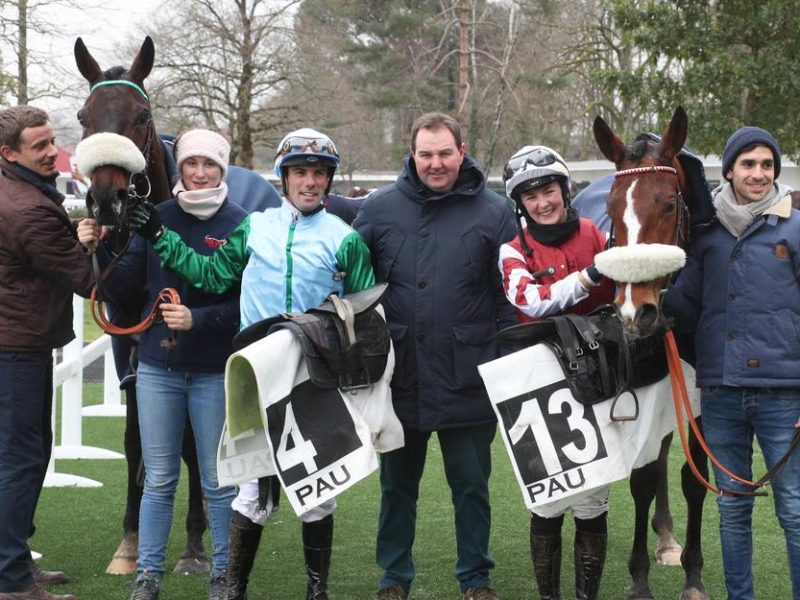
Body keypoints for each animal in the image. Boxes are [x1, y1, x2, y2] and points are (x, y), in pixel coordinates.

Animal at [72, 37, 209, 576]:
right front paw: (129, 543)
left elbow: (192, 437)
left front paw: (195, 540)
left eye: (142, 114)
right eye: (84, 116)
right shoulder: (127, 344)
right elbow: (137, 439)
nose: (106, 199)